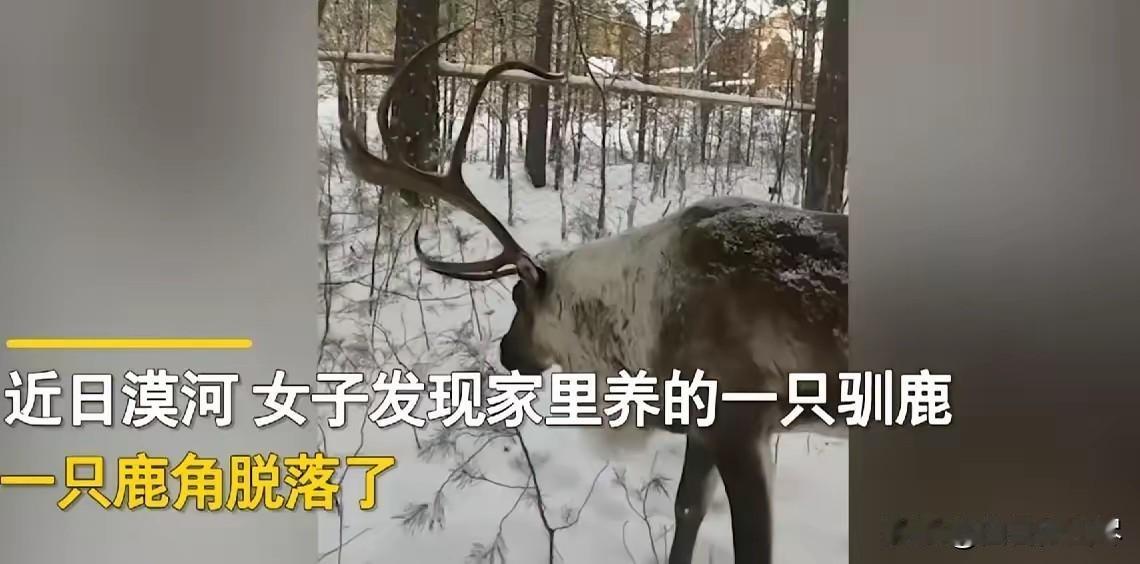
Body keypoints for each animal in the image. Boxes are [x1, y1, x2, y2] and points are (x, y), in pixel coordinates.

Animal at [333, 28, 849, 564]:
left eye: (518, 297)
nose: (506, 353)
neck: (639, 328)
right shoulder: (703, 428)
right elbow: (687, 508)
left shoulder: (741, 423)